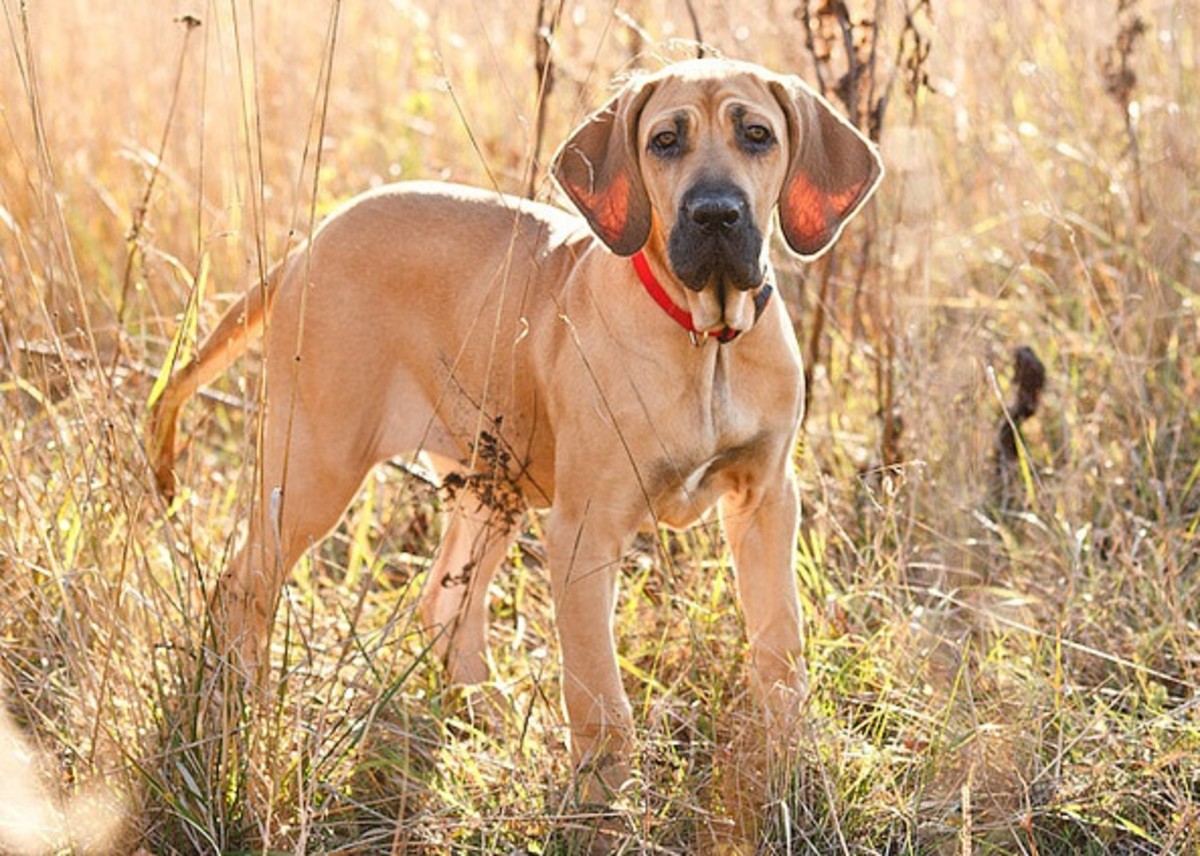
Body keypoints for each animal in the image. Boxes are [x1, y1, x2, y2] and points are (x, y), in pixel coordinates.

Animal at [150, 58, 883, 792]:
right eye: (665, 141)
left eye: (757, 134)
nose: (715, 213)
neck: (706, 341)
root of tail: (305, 250)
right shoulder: (586, 529)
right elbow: (597, 687)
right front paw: (605, 796)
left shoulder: (767, 501)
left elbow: (780, 642)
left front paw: (789, 757)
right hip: (314, 471)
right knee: (242, 590)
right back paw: (237, 710)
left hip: (489, 488)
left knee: (446, 603)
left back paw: (484, 711)